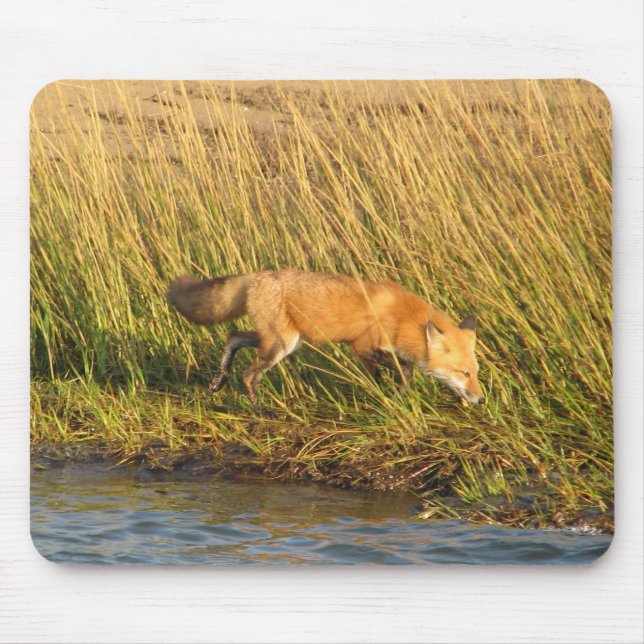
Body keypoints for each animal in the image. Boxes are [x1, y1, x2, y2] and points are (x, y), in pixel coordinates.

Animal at [167, 269, 484, 414]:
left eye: (476, 373)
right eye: (464, 373)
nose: (481, 400)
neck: (404, 318)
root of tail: (258, 276)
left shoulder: (368, 353)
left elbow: (388, 374)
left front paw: (387, 396)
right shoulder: (363, 346)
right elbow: (404, 368)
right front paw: (395, 395)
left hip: (286, 341)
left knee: (233, 336)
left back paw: (219, 380)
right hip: (280, 345)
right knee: (249, 375)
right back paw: (261, 410)